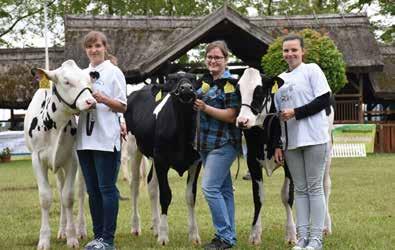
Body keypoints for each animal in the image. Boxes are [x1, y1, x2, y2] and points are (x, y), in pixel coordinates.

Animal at [24, 59, 96, 249]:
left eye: (89, 81)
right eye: (66, 81)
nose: (91, 101)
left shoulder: (73, 159)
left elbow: (68, 196)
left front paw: (72, 237)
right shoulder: (37, 159)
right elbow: (46, 197)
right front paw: (44, 239)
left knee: (79, 192)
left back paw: (80, 230)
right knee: (61, 186)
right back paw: (62, 230)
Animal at [124, 73, 203, 245]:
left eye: (193, 79)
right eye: (173, 80)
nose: (186, 89)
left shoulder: (196, 162)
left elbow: (191, 196)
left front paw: (194, 235)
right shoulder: (161, 160)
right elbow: (166, 195)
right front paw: (164, 237)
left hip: (153, 156)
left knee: (151, 185)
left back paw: (156, 226)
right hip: (134, 147)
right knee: (135, 186)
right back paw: (136, 226)